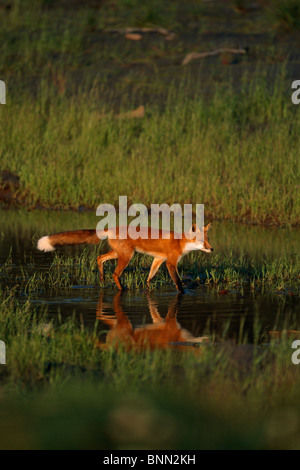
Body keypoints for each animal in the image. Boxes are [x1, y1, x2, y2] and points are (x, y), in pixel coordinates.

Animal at [36, 222, 212, 292]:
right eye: (202, 241)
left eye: (208, 240)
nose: (211, 248)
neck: (179, 242)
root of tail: (112, 228)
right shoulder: (170, 263)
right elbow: (178, 282)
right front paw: (183, 293)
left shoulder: (158, 259)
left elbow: (150, 277)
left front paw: (147, 289)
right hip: (127, 256)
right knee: (115, 274)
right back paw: (122, 289)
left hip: (118, 253)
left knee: (99, 258)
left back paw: (102, 278)